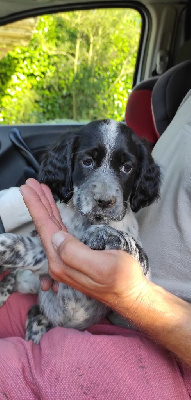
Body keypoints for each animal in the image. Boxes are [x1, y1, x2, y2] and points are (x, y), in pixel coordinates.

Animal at [0, 119, 160, 344]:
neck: (89, 221)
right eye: (87, 162)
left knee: (34, 312)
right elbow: (26, 248)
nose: (104, 201)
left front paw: (105, 234)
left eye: (127, 168)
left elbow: (131, 244)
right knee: (15, 277)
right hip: (29, 283)